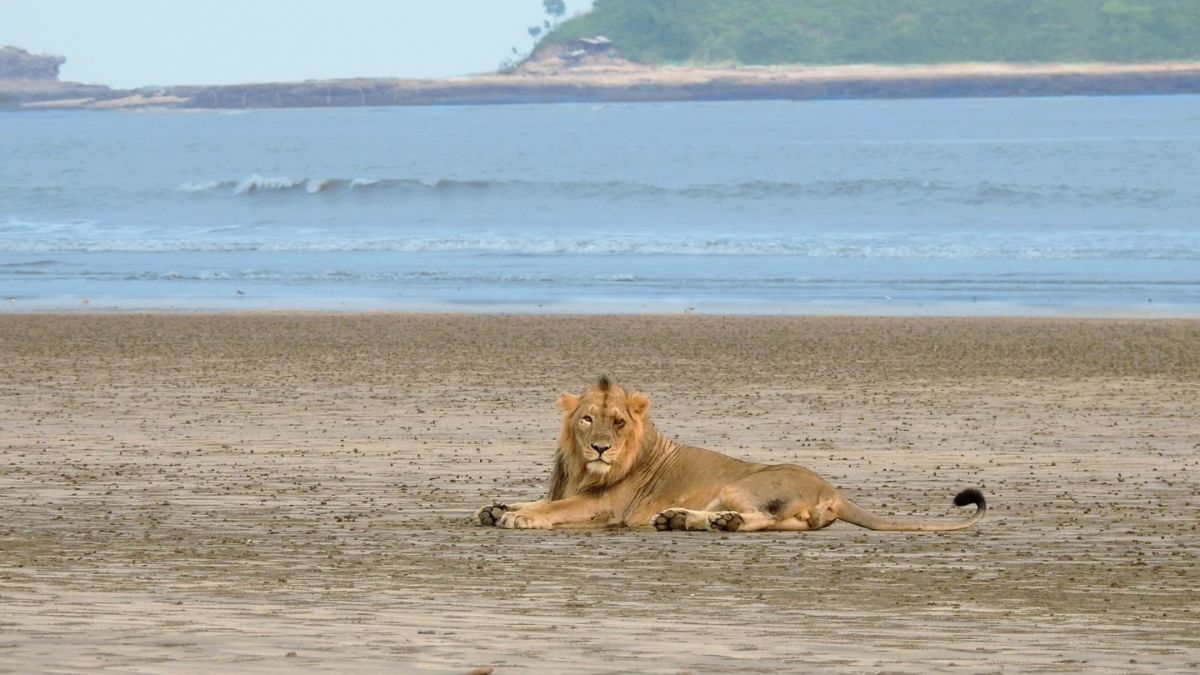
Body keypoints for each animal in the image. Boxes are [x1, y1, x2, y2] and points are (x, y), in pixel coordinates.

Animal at [475, 376, 985, 532]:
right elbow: (537, 498)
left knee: (761, 519)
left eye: (617, 422)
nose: (601, 447)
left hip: (742, 484)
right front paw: (497, 507)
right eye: (587, 419)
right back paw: (682, 519)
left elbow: (555, 508)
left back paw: (714, 522)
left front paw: (520, 517)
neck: (584, 468)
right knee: (781, 525)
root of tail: (833, 489)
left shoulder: (607, 506)